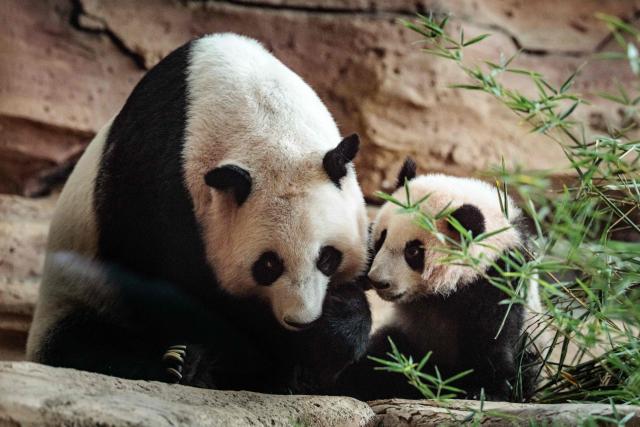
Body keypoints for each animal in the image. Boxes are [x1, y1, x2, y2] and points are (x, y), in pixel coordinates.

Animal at [26, 33, 372, 393]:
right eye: (268, 265)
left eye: (327, 257)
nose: (299, 320)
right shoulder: (153, 184)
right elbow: (163, 289)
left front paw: (323, 343)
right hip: (73, 294)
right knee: (82, 342)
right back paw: (178, 364)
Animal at [337, 158, 541, 401]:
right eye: (381, 238)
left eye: (413, 251)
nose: (378, 281)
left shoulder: (499, 277)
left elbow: (493, 335)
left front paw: (484, 390)